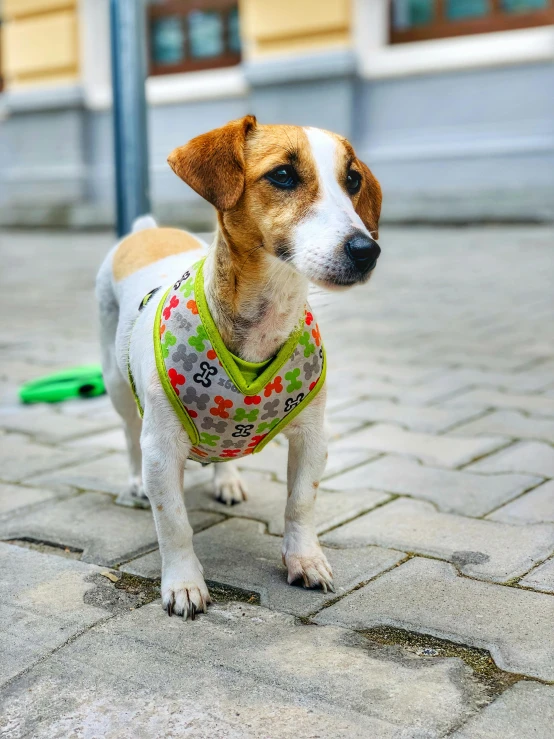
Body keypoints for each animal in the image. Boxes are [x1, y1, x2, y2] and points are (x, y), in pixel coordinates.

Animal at [95, 115, 380, 620]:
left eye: (352, 180)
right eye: (283, 175)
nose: (366, 250)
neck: (262, 326)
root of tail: (146, 230)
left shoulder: (313, 436)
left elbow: (300, 502)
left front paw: (305, 560)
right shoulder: (161, 449)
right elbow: (174, 523)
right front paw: (184, 584)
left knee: (220, 450)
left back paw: (226, 478)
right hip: (115, 384)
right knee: (129, 435)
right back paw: (134, 485)